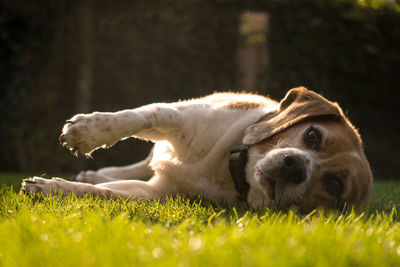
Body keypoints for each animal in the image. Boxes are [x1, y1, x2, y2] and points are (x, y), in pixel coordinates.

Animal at [21, 88, 372, 211]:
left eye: (334, 184)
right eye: (313, 136)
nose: (295, 166)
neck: (231, 165)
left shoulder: (156, 193)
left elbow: (101, 194)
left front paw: (50, 188)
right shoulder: (180, 116)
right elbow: (134, 117)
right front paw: (86, 131)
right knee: (144, 158)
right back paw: (97, 171)